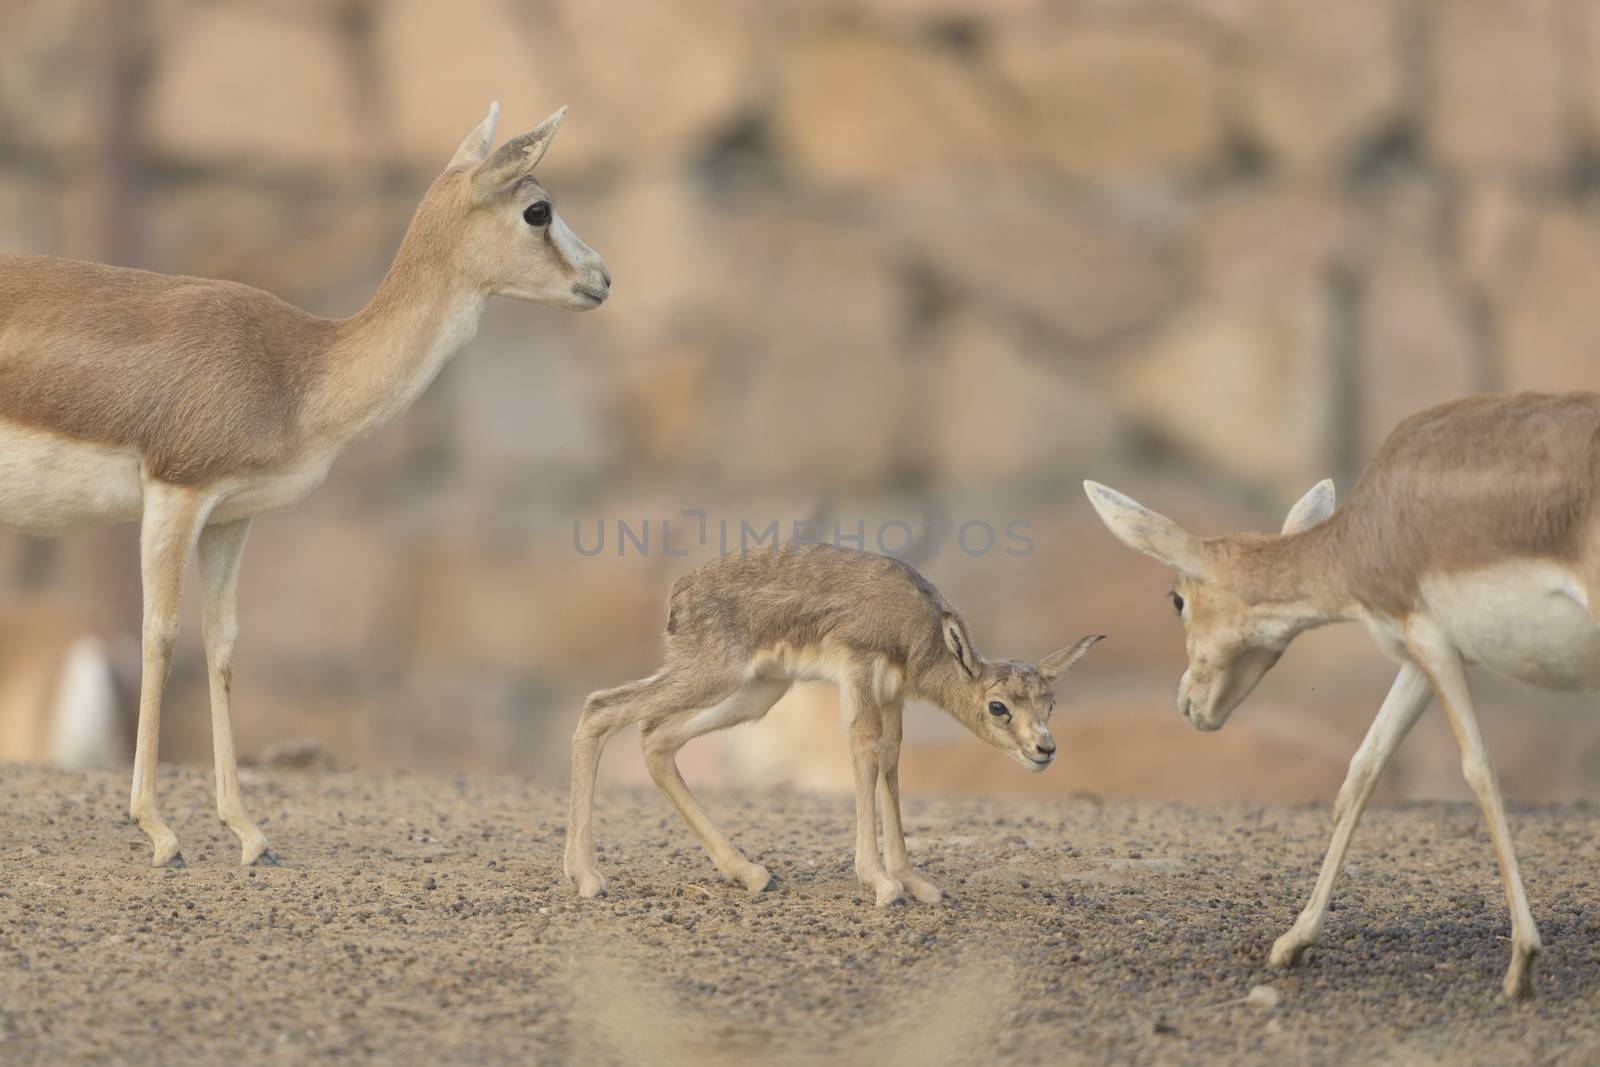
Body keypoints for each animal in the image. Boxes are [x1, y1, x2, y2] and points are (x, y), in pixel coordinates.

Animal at [563, 543, 1100, 902]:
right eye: (998, 706)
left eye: (1050, 703)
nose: (1045, 749)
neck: (919, 627)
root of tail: (678, 596)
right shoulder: (858, 672)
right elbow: (863, 750)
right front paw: (880, 882)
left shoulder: (892, 698)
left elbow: (890, 763)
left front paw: (913, 881)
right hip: (714, 677)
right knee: (600, 708)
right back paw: (586, 877)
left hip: (757, 694)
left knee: (655, 738)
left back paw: (748, 872)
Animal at [1088, 391, 1600, 1004]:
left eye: (1176, 600)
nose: (1188, 702)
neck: (1363, 533)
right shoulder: (1419, 654)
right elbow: (1363, 768)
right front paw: (1293, 941)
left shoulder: (1428, 638)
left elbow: (1479, 770)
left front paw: (1522, 962)